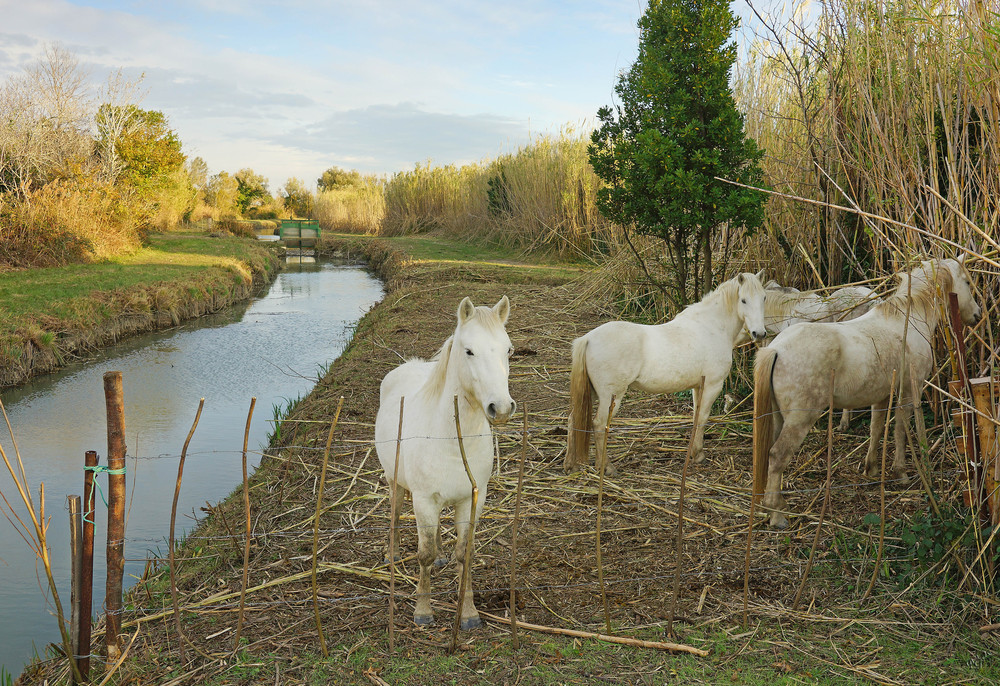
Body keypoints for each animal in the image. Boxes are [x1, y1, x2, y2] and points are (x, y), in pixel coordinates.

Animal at [374, 294, 516, 628]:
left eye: (508, 350)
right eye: (469, 351)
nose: (501, 408)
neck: (451, 440)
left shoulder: (472, 500)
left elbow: (464, 554)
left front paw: (469, 613)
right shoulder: (424, 500)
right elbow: (423, 555)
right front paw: (423, 611)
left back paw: (440, 555)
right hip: (394, 481)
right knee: (395, 515)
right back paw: (392, 555)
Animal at [568, 272, 768, 476]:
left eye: (764, 298)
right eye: (743, 300)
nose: (759, 334)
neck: (712, 327)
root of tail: (588, 338)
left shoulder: (698, 387)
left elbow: (696, 418)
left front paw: (694, 453)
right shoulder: (713, 385)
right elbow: (703, 417)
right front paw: (699, 455)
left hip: (593, 392)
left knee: (573, 419)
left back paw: (570, 465)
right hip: (611, 396)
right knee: (599, 425)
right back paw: (606, 467)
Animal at [752, 255, 980, 528]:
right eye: (966, 281)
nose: (977, 314)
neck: (908, 319)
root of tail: (775, 349)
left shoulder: (880, 396)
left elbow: (876, 428)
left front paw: (871, 469)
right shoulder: (908, 391)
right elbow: (901, 429)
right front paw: (901, 472)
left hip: (776, 417)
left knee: (768, 453)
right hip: (799, 420)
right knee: (777, 456)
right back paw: (777, 515)